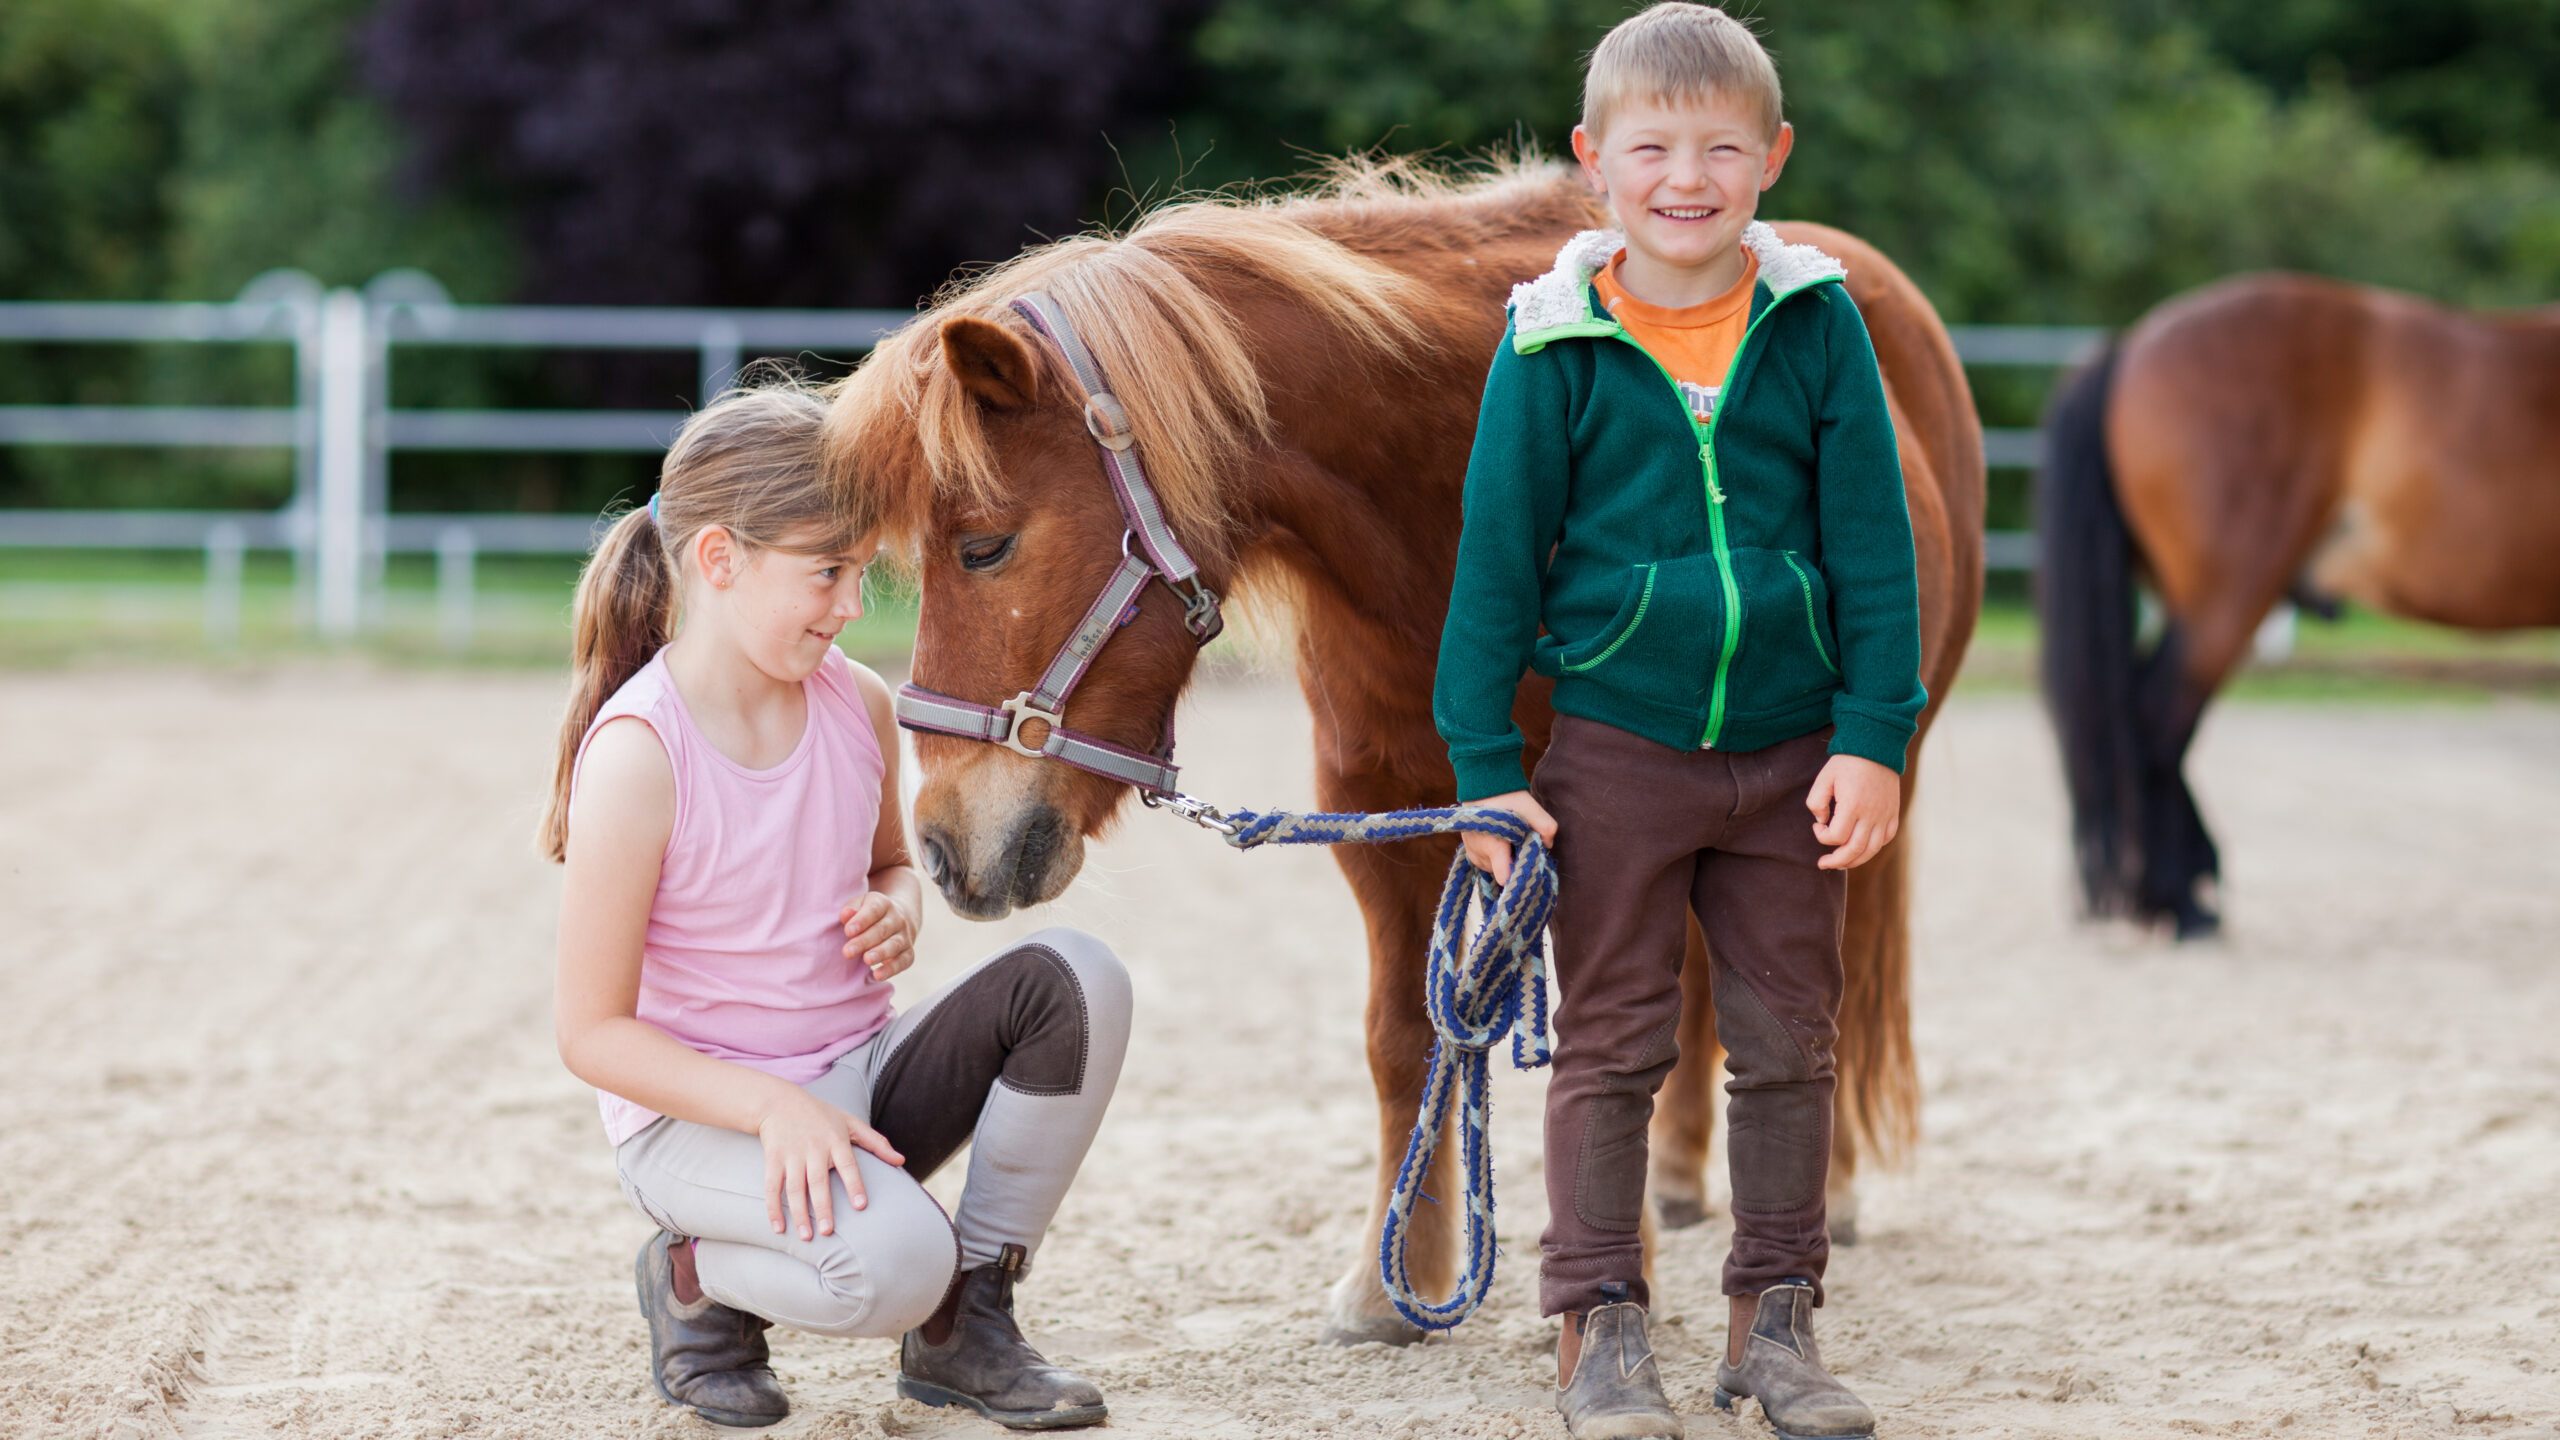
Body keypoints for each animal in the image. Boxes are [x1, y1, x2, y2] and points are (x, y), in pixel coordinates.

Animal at [819, 162, 1976, 1342]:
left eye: (984, 547)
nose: (946, 845)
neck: (1436, 499)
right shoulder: (1388, 819)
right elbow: (1400, 1038)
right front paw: (1393, 1282)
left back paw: (1825, 1188)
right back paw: (1684, 1178)